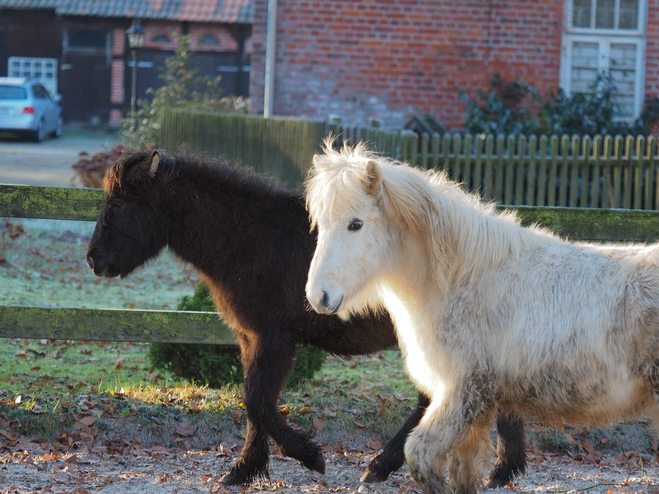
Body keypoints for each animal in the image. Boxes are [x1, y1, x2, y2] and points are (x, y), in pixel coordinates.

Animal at [85, 151, 524, 486]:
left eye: (118, 204)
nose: (93, 260)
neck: (250, 238)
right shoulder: (250, 338)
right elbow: (253, 404)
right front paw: (244, 470)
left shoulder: (274, 339)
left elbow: (259, 400)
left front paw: (309, 456)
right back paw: (499, 470)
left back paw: (390, 467)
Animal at [304, 140, 659, 494]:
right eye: (320, 224)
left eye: (356, 224)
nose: (318, 296)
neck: (465, 279)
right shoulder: (473, 408)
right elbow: (463, 470)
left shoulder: (464, 391)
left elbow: (419, 453)